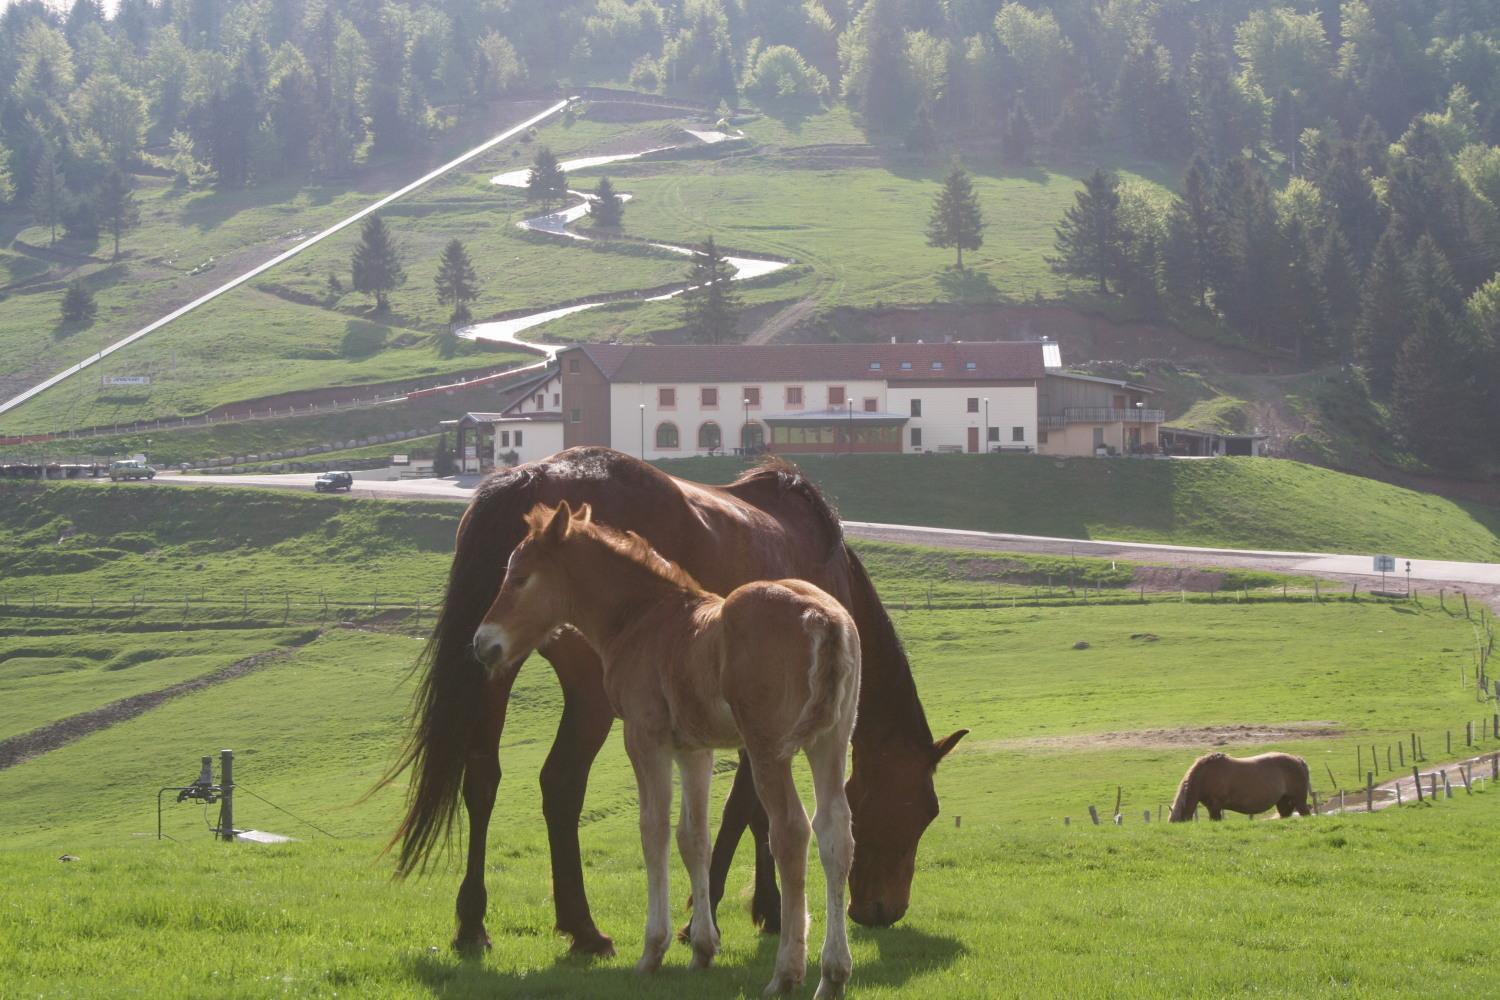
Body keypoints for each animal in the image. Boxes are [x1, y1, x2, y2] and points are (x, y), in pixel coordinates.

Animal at [474, 503, 864, 995]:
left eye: (521, 576)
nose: (483, 643)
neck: (642, 619)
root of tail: (822, 618)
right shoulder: (695, 750)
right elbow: (693, 837)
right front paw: (702, 948)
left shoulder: (645, 737)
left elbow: (653, 830)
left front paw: (652, 951)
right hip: (829, 742)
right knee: (835, 833)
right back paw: (833, 974)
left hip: (767, 748)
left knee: (791, 831)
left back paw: (786, 974)